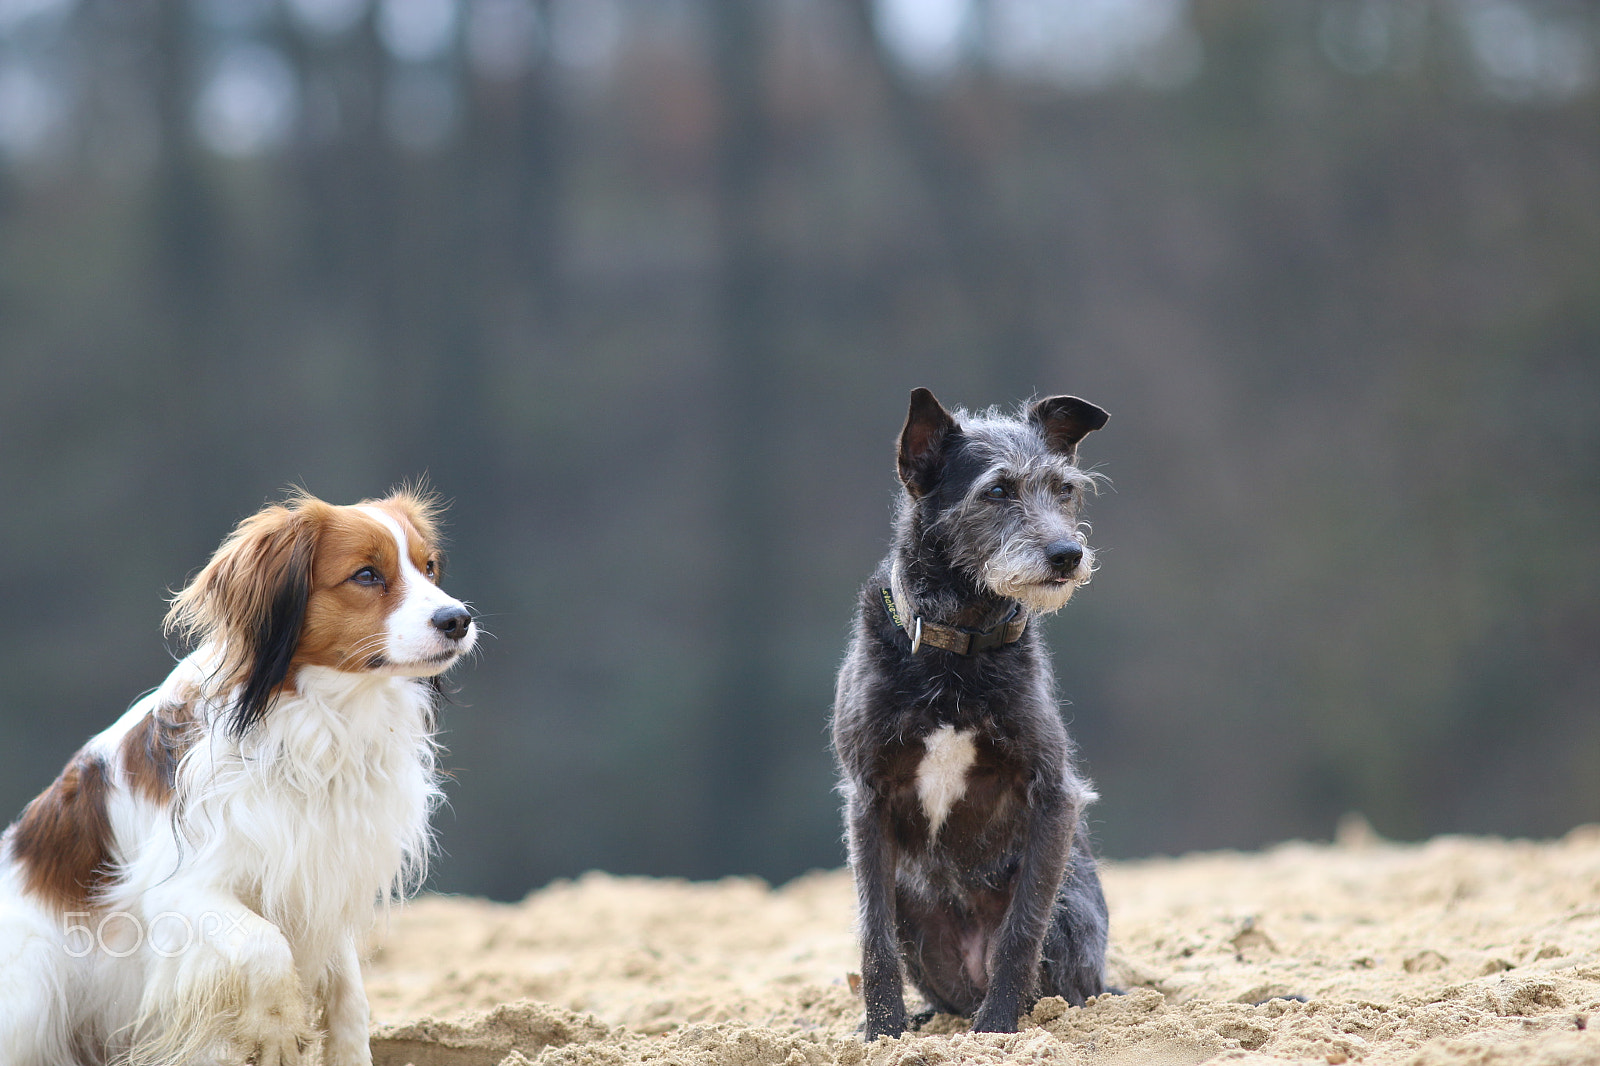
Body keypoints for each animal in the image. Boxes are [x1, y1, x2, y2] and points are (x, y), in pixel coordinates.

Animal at [0, 489, 473, 1062]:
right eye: (366, 575)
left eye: (429, 569)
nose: (459, 619)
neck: (320, 719)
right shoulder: (181, 892)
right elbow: (266, 946)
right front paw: (278, 1030)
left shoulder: (321, 874)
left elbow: (349, 994)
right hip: (34, 984)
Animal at [838, 385, 1113, 1030]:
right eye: (996, 491)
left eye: (1065, 488)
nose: (1068, 554)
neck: (957, 645)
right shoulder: (866, 797)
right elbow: (872, 936)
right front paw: (882, 1033)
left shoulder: (1054, 794)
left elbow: (1021, 930)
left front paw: (998, 1031)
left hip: (1071, 911)